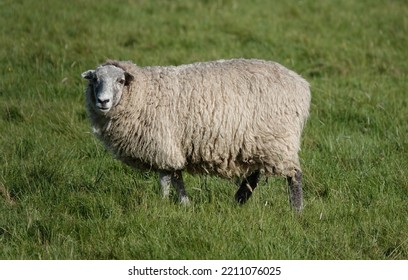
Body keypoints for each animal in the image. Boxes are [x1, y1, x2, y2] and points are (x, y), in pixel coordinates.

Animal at [81, 59, 310, 212]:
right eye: (95, 80)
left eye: (120, 80)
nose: (103, 101)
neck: (145, 93)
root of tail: (301, 84)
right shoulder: (170, 145)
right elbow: (175, 176)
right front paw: (184, 203)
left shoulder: (162, 143)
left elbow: (166, 178)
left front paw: (163, 202)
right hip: (257, 142)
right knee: (255, 174)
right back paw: (238, 200)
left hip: (278, 139)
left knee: (294, 175)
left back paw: (296, 211)